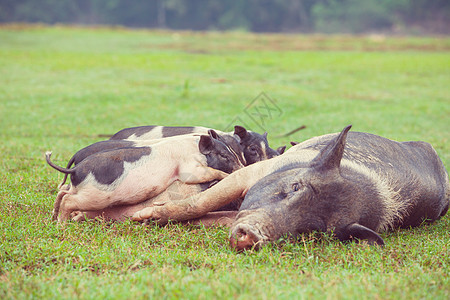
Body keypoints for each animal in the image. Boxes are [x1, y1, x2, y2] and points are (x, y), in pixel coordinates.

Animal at [46, 134, 244, 223]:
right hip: (93, 196)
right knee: (68, 200)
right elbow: (209, 172)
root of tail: (76, 168)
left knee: (62, 193)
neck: (195, 149)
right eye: (224, 155)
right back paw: (61, 224)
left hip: (79, 190)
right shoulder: (188, 168)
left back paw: (54, 216)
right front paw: (226, 175)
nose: (242, 168)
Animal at [132, 125, 448, 250]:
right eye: (295, 186)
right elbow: (201, 203)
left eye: (313, 231)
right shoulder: (255, 172)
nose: (253, 236)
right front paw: (143, 217)